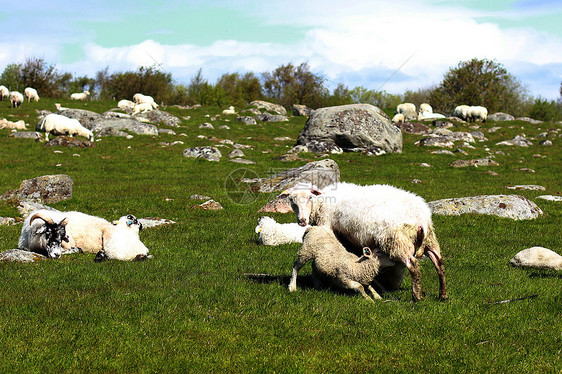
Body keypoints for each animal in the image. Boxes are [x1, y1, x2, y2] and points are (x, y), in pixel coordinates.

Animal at [284, 181, 446, 300]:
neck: (322, 202)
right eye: (292, 201)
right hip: (429, 240)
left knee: (413, 266)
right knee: (439, 263)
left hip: (397, 241)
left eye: (309, 198)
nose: (302, 221)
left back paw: (417, 296)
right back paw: (442, 295)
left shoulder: (327, 226)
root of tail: (421, 217)